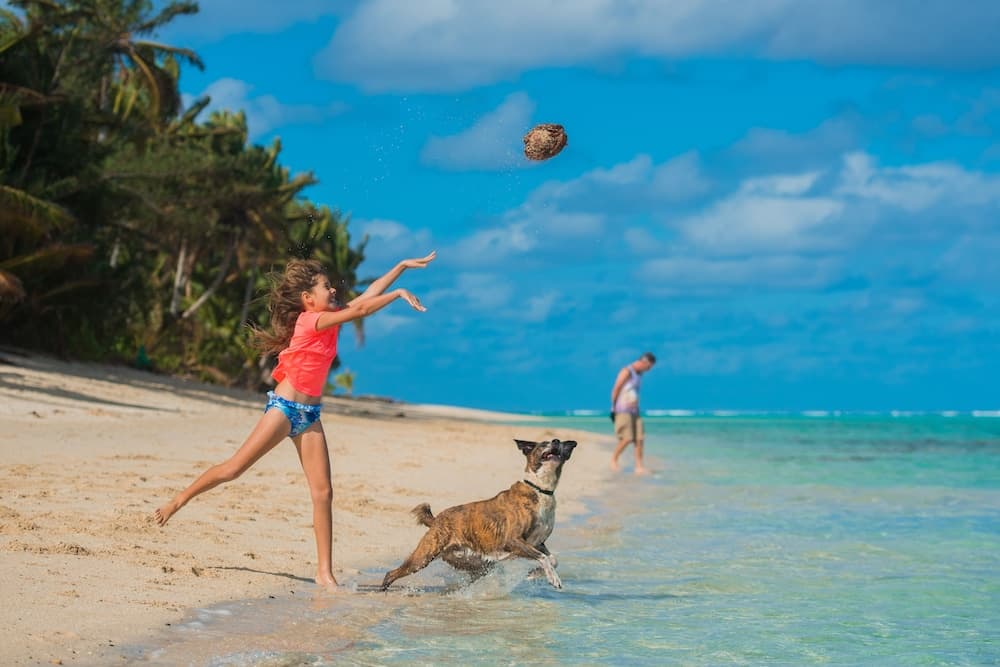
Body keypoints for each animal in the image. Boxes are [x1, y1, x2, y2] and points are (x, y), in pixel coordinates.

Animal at [381, 438, 577, 591]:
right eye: (544, 443)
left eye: (558, 442)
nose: (557, 441)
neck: (540, 489)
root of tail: (436, 520)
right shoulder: (513, 540)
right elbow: (543, 558)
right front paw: (553, 578)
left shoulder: (538, 542)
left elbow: (553, 559)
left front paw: (534, 574)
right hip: (424, 556)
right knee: (392, 573)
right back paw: (383, 589)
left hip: (475, 564)